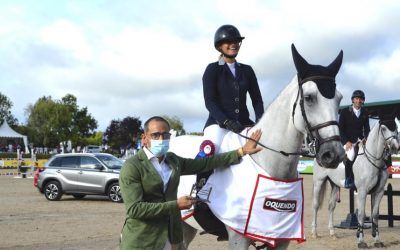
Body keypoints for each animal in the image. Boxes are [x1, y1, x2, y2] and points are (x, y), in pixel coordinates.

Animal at [170, 44, 346, 249]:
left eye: (339, 98)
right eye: (309, 98)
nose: (334, 154)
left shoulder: (281, 240)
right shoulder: (238, 238)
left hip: (187, 226)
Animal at [312, 116, 400, 248]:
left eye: (395, 128)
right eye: (384, 129)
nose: (395, 147)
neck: (373, 160)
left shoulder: (379, 192)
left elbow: (375, 215)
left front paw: (377, 240)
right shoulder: (362, 192)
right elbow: (361, 215)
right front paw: (361, 241)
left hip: (335, 184)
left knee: (331, 206)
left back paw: (332, 233)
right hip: (319, 181)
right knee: (316, 205)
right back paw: (314, 233)